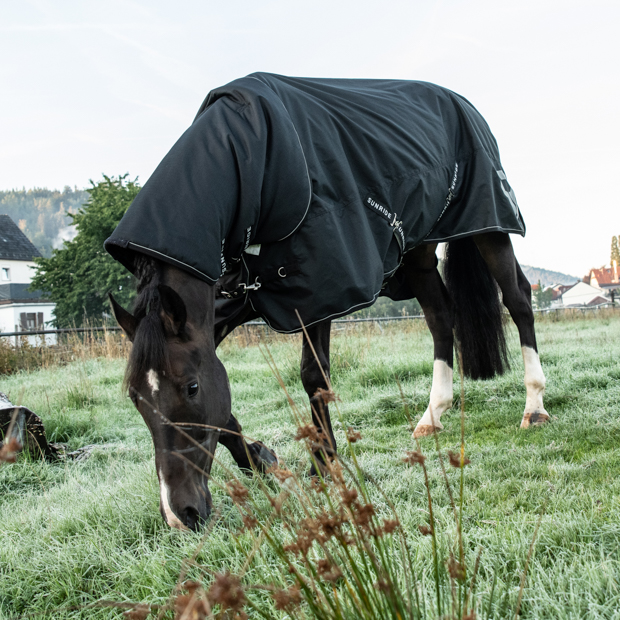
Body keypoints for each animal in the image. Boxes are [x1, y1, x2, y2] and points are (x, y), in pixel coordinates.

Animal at [105, 72, 548, 528]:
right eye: (135, 398)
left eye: (191, 388)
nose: (182, 514)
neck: (254, 161)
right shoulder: (235, 298)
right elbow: (225, 402)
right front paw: (260, 458)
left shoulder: (319, 288)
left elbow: (312, 376)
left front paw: (323, 461)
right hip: (419, 253)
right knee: (442, 319)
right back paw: (432, 415)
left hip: (489, 227)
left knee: (519, 301)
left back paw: (534, 407)